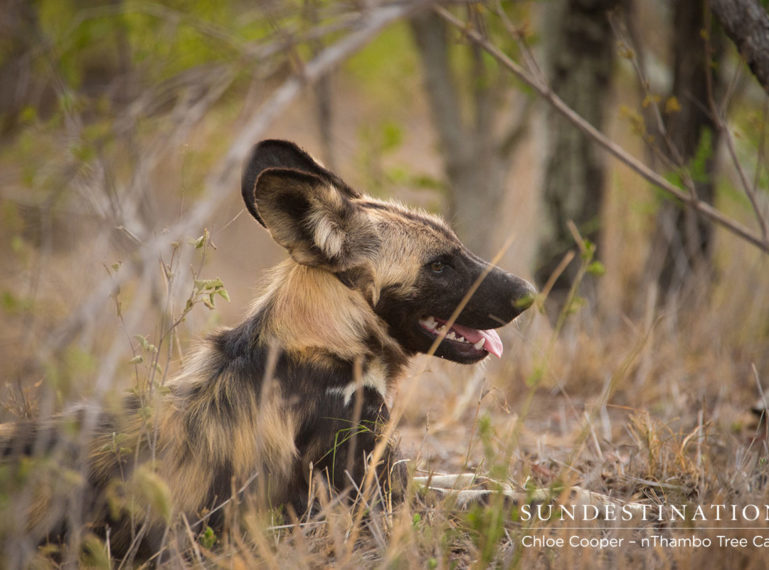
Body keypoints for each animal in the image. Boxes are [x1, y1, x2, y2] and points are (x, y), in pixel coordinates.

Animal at [0, 139, 536, 560]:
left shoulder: (392, 482)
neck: (328, 341)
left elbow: (478, 483)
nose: (528, 293)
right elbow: (492, 499)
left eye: (458, 249)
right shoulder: (370, 506)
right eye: (439, 266)